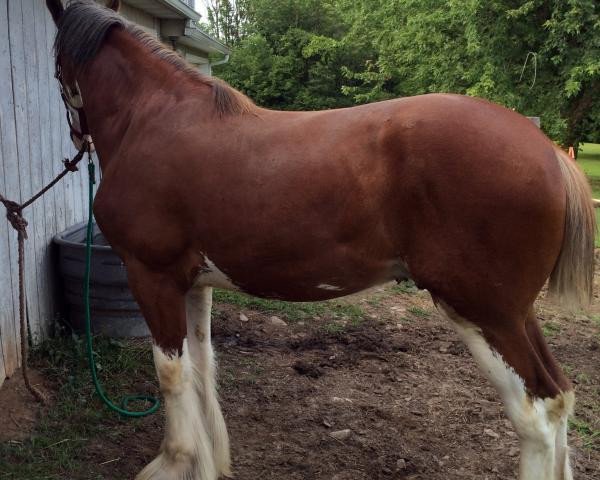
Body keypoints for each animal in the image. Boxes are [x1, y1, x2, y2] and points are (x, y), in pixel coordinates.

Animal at [47, 0, 596, 480]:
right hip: (516, 313)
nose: (75, 139)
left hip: (482, 311)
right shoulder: (195, 284)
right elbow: (203, 366)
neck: (153, 119)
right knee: (560, 398)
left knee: (535, 415)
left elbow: (171, 373)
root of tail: (547, 151)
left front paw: (174, 462)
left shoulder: (152, 275)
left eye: (55, 66)